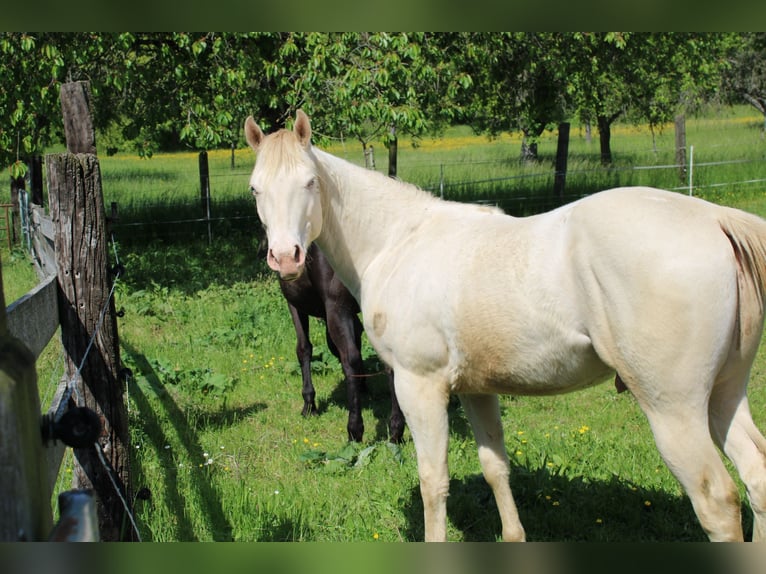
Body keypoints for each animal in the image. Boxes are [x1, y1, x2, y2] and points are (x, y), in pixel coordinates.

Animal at [276, 241, 405, 443]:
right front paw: (363, 386)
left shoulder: (297, 303)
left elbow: (304, 349)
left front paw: (309, 405)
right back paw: (396, 430)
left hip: (336, 307)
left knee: (349, 358)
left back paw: (354, 431)